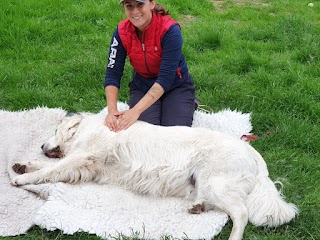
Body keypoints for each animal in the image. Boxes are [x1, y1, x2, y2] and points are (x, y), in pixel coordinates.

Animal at [11, 111, 298, 240]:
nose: (41, 145)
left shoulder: (82, 157)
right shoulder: (84, 164)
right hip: (206, 183)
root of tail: (253, 153)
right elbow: (43, 165)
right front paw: (23, 165)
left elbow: (49, 170)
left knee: (241, 213)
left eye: (55, 131)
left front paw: (22, 179)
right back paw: (197, 206)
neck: (88, 129)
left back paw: (232, 236)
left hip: (216, 181)